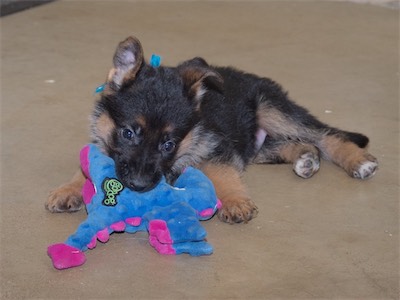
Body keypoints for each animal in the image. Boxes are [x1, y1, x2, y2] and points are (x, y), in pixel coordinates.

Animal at [46, 36, 378, 224]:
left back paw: (358, 161)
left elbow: (222, 172)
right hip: (256, 141)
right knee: (290, 144)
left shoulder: (219, 146)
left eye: (168, 144)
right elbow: (87, 164)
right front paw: (67, 189)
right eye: (128, 133)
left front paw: (234, 200)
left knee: (325, 135)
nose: (139, 186)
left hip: (272, 110)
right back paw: (306, 158)